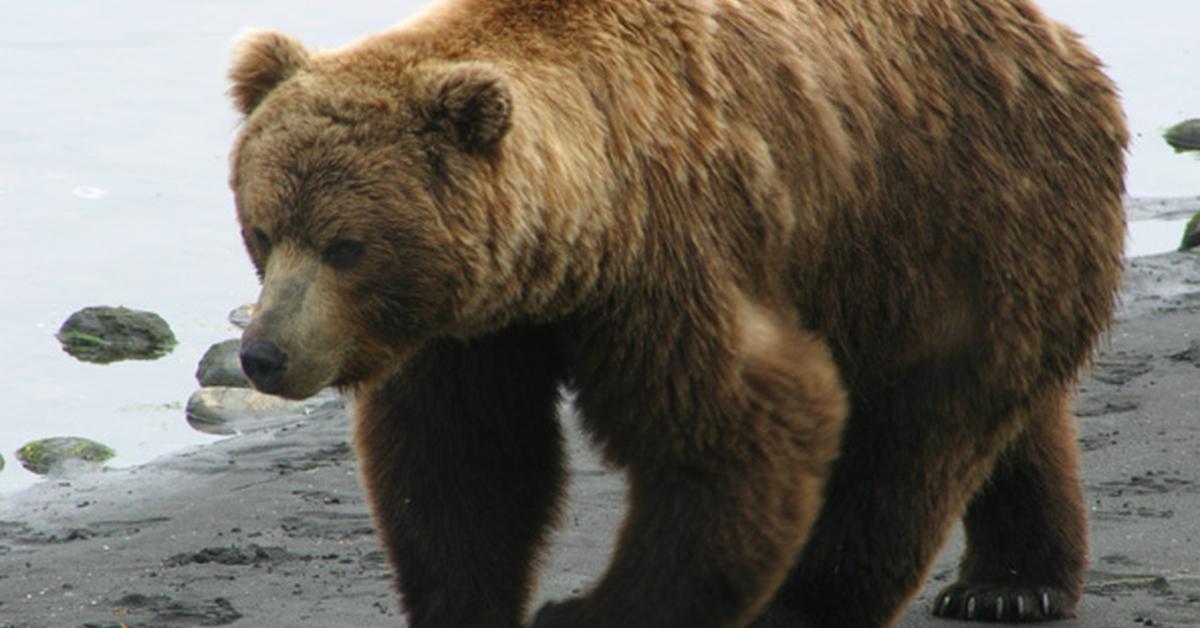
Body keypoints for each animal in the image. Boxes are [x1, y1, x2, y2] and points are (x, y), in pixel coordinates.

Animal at [229, 2, 1128, 624]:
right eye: (263, 230)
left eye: (347, 246)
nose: (263, 354)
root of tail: (1063, 43)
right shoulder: (478, 326)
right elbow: (463, 459)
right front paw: (470, 600)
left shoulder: (671, 260)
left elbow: (735, 431)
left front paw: (585, 610)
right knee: (1011, 421)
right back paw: (1013, 584)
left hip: (953, 222)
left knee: (917, 435)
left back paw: (821, 602)